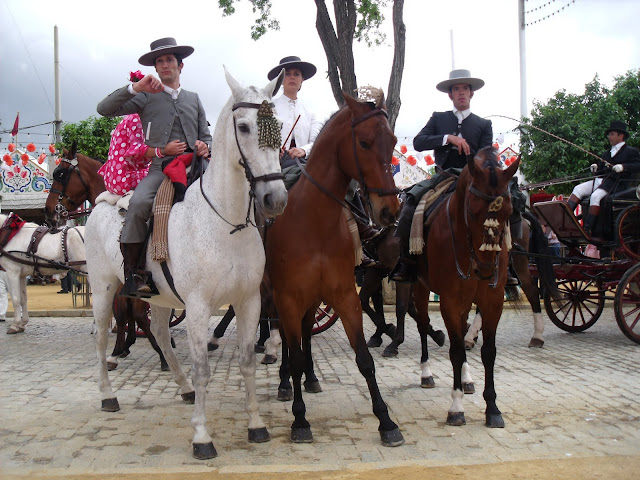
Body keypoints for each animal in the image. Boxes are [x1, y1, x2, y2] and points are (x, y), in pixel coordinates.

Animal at [83, 68, 288, 462]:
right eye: (243, 127)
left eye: (279, 126)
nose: (275, 198)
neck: (227, 222)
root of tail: (104, 200)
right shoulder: (197, 306)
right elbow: (204, 369)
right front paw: (202, 436)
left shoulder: (249, 301)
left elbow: (246, 362)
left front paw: (256, 424)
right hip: (103, 289)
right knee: (101, 337)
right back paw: (107, 395)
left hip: (161, 297)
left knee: (161, 334)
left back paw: (182, 387)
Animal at [262, 88, 402, 448]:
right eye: (364, 142)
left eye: (393, 141)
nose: (389, 210)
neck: (314, 222)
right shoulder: (287, 297)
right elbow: (294, 355)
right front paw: (299, 420)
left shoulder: (343, 296)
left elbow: (364, 359)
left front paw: (386, 421)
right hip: (275, 297)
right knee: (287, 342)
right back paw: (284, 383)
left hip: (313, 299)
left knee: (304, 336)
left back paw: (311, 378)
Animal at [410, 147, 520, 428]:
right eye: (472, 211)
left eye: (509, 212)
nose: (486, 270)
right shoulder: (448, 301)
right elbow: (456, 351)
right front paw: (456, 406)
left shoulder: (493, 301)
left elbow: (488, 352)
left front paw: (492, 408)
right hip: (420, 288)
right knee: (423, 324)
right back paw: (426, 373)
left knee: (461, 327)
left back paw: (468, 378)